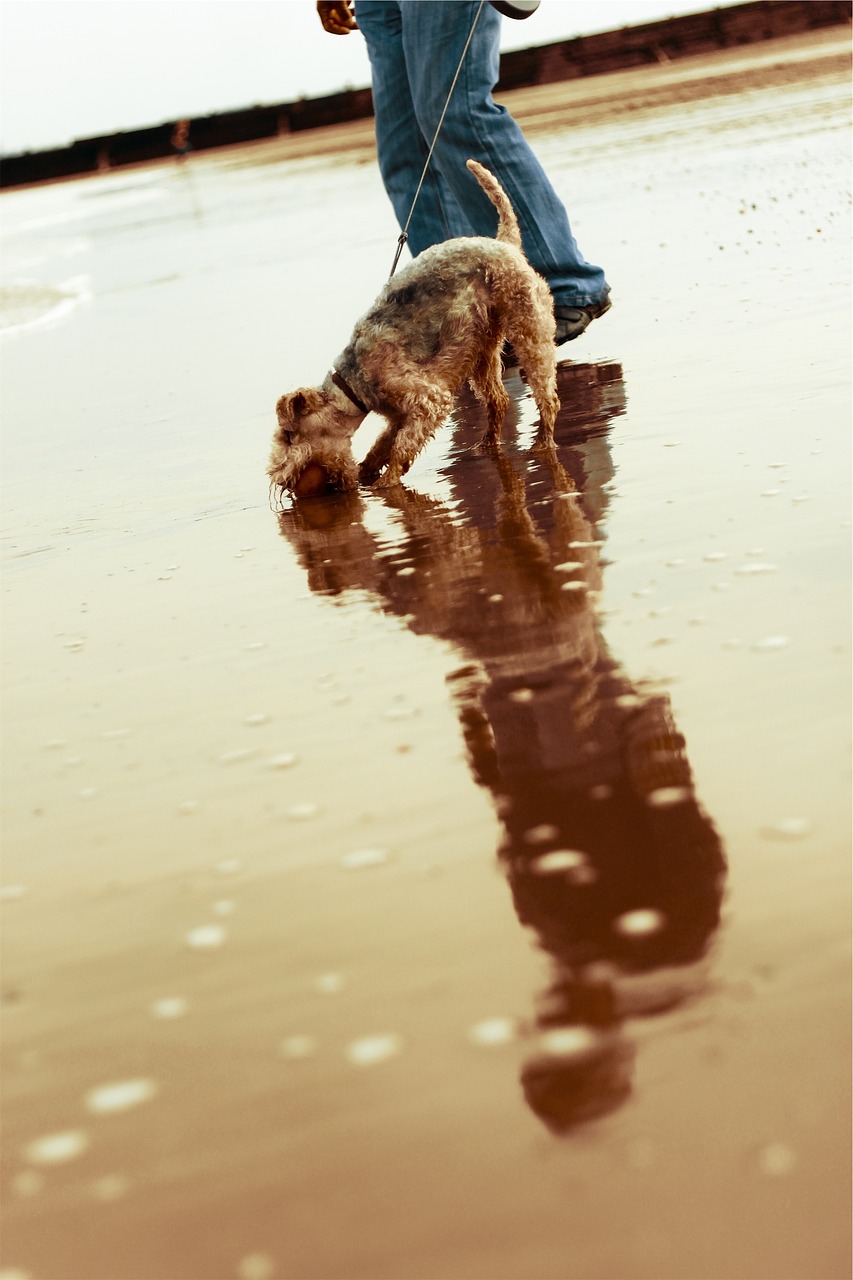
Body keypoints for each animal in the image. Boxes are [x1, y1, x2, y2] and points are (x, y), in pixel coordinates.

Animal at [267, 157, 558, 496]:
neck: (354, 385)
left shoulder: (427, 401)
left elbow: (401, 447)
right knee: (499, 400)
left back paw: (542, 444)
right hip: (482, 351)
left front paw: (386, 483)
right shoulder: (397, 416)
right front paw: (366, 472)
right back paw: (485, 445)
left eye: (289, 436)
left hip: (529, 329)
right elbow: (381, 445)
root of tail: (505, 243)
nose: (280, 481)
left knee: (546, 396)